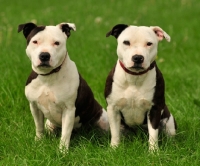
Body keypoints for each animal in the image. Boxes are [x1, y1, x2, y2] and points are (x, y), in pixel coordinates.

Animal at [18, 22, 109, 152]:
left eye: (57, 43)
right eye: (35, 41)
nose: (44, 55)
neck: (48, 76)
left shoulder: (68, 109)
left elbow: (65, 133)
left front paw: (62, 151)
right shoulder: (34, 106)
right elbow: (39, 127)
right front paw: (38, 142)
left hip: (103, 120)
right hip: (49, 124)